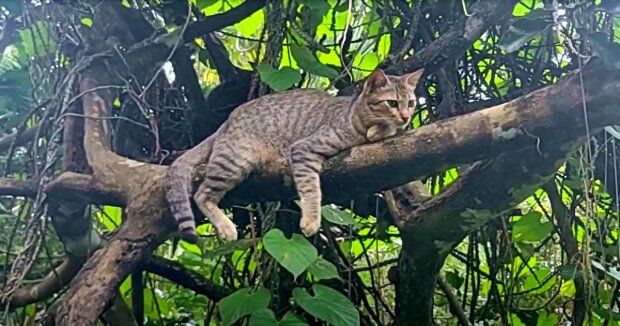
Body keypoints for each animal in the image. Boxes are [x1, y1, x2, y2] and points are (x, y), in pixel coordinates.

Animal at [165, 68, 426, 242]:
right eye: (392, 103)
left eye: (411, 103)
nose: (406, 116)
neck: (354, 115)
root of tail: (226, 122)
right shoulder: (303, 149)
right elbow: (311, 190)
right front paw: (311, 220)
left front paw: (380, 130)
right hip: (234, 163)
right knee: (202, 195)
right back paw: (226, 227)